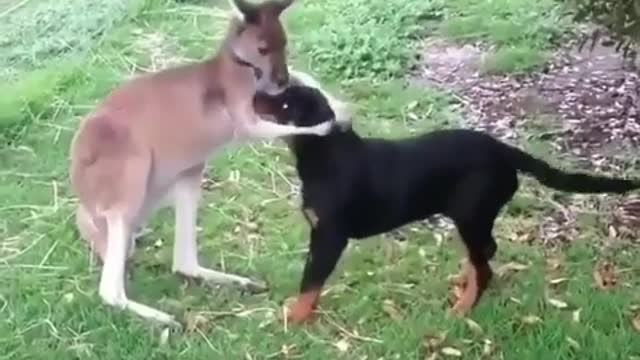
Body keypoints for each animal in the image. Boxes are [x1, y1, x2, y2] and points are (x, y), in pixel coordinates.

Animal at [252, 84, 636, 324]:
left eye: (285, 105)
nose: (255, 94)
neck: (324, 155)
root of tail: (502, 150)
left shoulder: (329, 237)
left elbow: (310, 283)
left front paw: (294, 318)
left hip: (470, 214)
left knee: (485, 265)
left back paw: (463, 308)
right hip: (474, 217)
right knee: (485, 253)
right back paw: (464, 281)